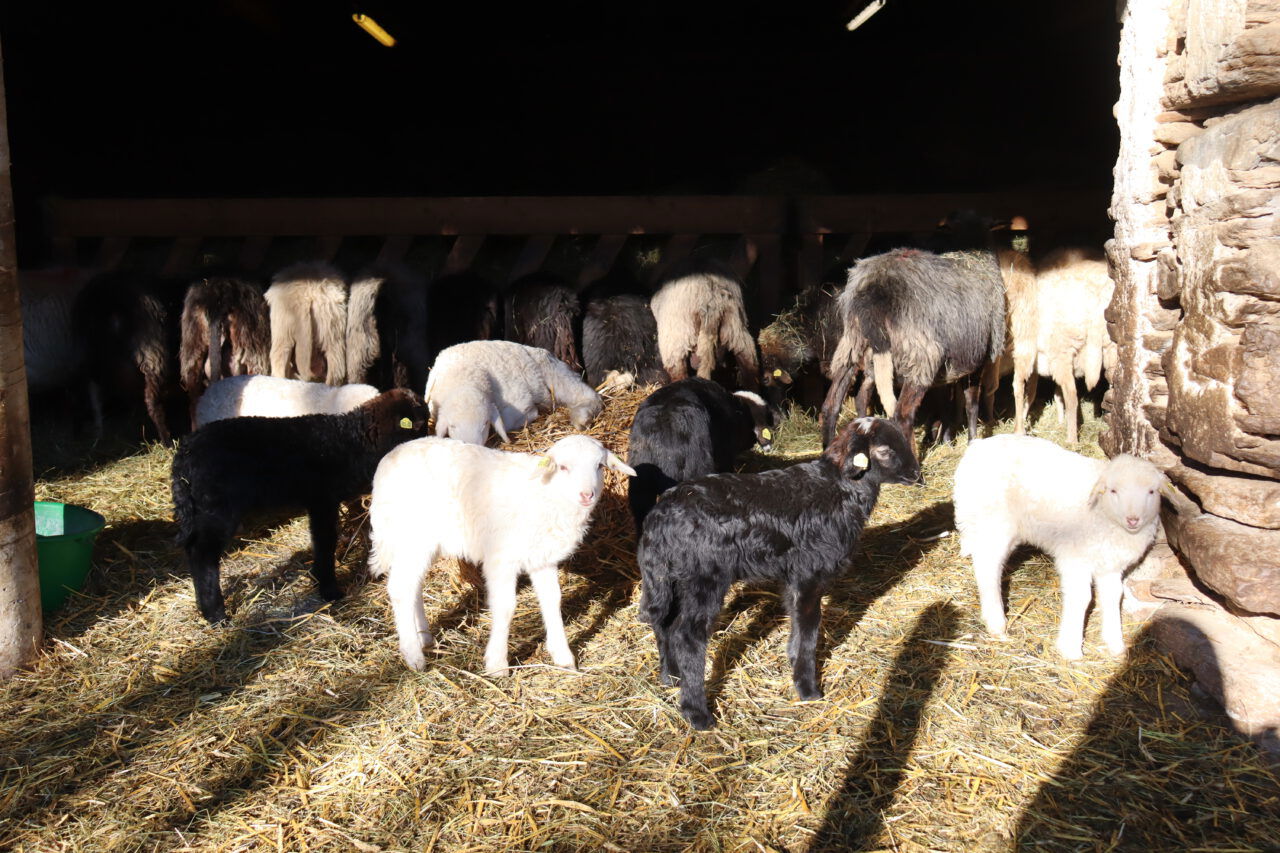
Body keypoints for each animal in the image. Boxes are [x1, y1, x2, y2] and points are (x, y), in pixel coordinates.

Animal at [171, 388, 429, 623]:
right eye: (422, 424)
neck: (352, 439)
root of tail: (183, 456)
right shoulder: (324, 499)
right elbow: (325, 541)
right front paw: (329, 590)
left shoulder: (318, 502)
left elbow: (320, 540)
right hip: (217, 508)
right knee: (202, 554)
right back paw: (215, 614)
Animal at [368, 434, 637, 674]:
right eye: (563, 467)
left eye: (599, 466)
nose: (586, 495)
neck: (546, 495)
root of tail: (388, 459)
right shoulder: (501, 558)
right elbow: (505, 606)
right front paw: (497, 664)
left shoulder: (542, 558)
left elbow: (553, 601)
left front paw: (563, 657)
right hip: (412, 536)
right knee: (400, 589)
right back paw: (413, 656)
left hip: (422, 542)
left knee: (413, 586)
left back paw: (424, 637)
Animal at [425, 340, 602, 446]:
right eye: (452, 426)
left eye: (485, 424)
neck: (464, 374)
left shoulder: (519, 401)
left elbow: (515, 419)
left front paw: (533, 414)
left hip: (555, 373)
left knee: (587, 395)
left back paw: (582, 417)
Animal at [637, 416, 922, 729]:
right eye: (884, 450)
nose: (916, 474)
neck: (839, 490)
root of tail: (660, 518)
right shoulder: (809, 574)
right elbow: (809, 629)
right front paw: (808, 689)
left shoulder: (794, 578)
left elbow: (798, 625)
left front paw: (795, 664)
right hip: (704, 578)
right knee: (687, 636)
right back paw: (697, 713)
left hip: (669, 577)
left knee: (663, 622)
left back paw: (671, 677)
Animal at [952, 434, 1165, 660]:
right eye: (1113, 490)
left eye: (1151, 491)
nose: (1133, 519)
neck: (1105, 515)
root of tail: (976, 447)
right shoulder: (1075, 559)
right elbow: (1082, 597)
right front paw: (1071, 647)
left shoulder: (1110, 564)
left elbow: (1114, 596)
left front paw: (1115, 644)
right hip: (996, 523)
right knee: (987, 567)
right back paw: (996, 622)